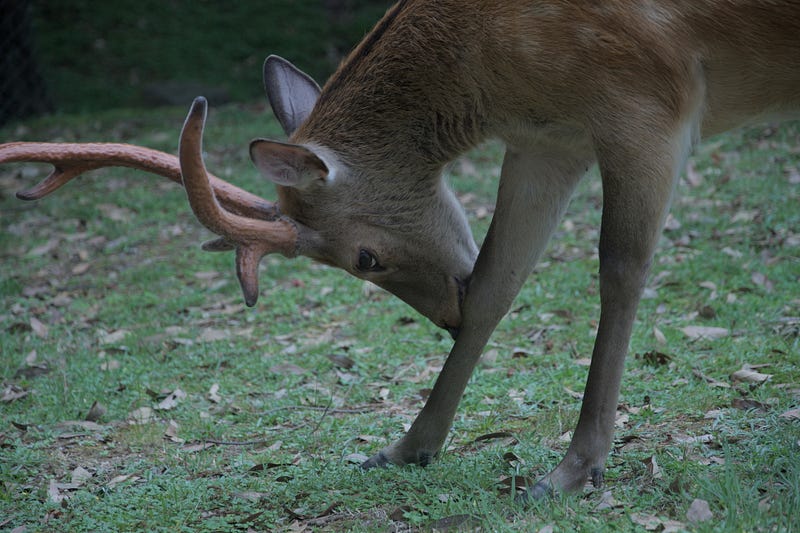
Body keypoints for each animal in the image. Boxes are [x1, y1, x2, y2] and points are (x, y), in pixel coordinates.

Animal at [1, 0, 798, 500]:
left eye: (365, 258)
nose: (442, 317)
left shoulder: (649, 104)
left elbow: (620, 272)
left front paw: (574, 471)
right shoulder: (549, 137)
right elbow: (499, 281)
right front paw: (404, 448)